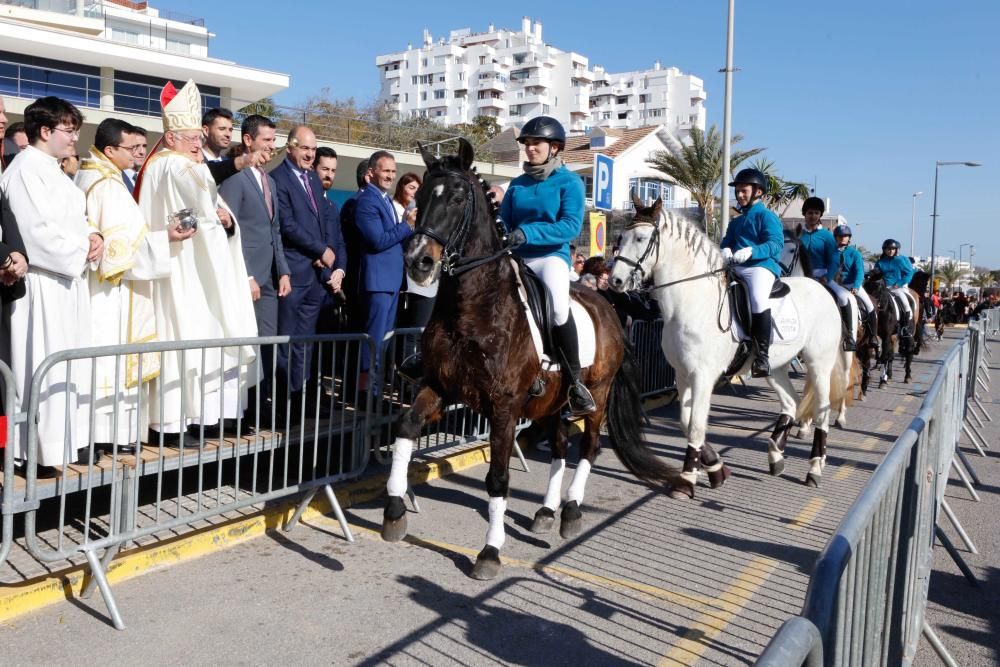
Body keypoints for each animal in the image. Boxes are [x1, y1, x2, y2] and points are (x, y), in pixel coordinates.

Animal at [382, 140, 688, 580]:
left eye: (456, 198)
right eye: (419, 197)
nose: (419, 262)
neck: (472, 307)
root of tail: (608, 305)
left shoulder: (504, 407)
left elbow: (497, 478)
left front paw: (490, 552)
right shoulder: (439, 386)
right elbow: (406, 427)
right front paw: (393, 512)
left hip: (595, 395)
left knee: (588, 447)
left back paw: (571, 511)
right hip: (551, 403)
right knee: (559, 447)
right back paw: (545, 511)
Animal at [604, 197, 848, 490]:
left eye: (641, 238)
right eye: (620, 237)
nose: (615, 281)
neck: (691, 299)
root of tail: (821, 288)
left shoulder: (702, 375)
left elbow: (696, 424)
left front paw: (687, 478)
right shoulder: (682, 374)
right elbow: (685, 422)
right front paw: (715, 468)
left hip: (819, 363)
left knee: (822, 411)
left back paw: (814, 469)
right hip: (775, 368)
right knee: (791, 402)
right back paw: (776, 455)